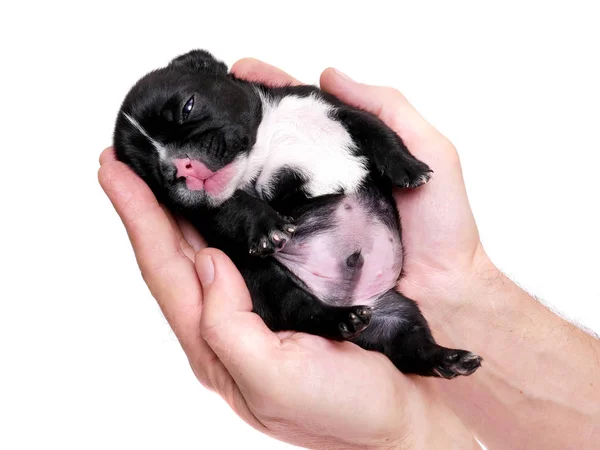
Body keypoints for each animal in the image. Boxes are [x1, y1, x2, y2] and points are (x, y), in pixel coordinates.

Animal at [113, 50, 482, 380]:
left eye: (187, 106)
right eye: (153, 175)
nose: (177, 168)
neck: (265, 139)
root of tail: (349, 299)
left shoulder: (336, 108)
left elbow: (379, 131)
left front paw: (409, 168)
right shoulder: (212, 205)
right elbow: (236, 206)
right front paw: (266, 228)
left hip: (399, 311)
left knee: (410, 342)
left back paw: (448, 359)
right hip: (272, 284)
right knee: (303, 310)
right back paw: (342, 320)